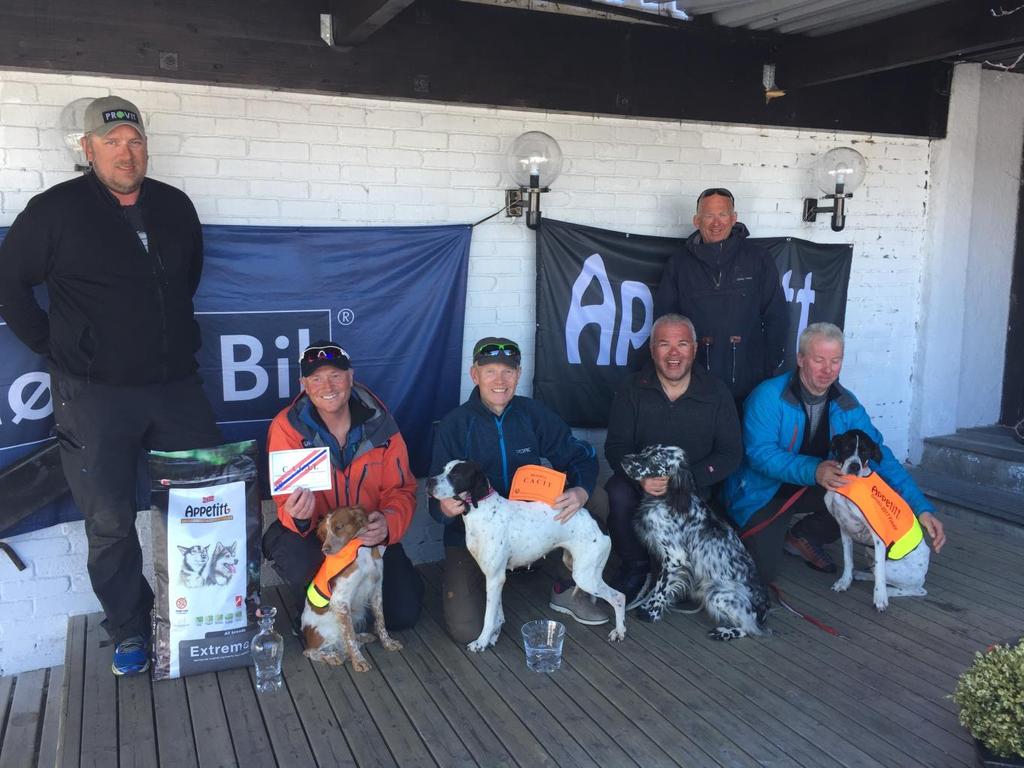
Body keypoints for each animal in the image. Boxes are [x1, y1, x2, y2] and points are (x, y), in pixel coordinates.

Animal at [299, 507, 399, 671]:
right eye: (325, 532)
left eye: (339, 527)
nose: (325, 549)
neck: (361, 549)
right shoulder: (340, 600)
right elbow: (350, 636)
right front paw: (358, 661)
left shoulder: (376, 590)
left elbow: (380, 620)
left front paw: (388, 642)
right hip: (329, 630)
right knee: (310, 651)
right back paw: (332, 656)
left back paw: (363, 636)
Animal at [614, 444, 770, 643]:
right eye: (646, 449)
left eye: (656, 459)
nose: (623, 459)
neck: (668, 498)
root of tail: (763, 609)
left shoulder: (675, 558)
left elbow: (661, 587)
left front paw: (651, 612)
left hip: (717, 594)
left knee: (750, 628)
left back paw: (725, 632)